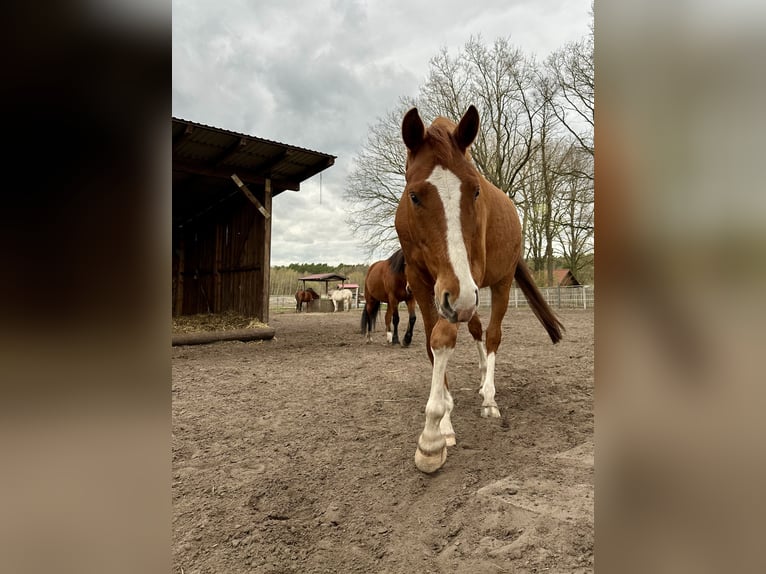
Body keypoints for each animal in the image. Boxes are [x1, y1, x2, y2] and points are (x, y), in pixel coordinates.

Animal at [395, 105, 564, 473]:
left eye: (474, 191)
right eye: (414, 196)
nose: (457, 298)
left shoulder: (464, 281)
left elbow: (445, 337)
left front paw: (431, 439)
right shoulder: (424, 282)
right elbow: (432, 345)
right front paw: (445, 418)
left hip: (497, 283)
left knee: (493, 335)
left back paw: (489, 397)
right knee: (476, 329)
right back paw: (483, 375)